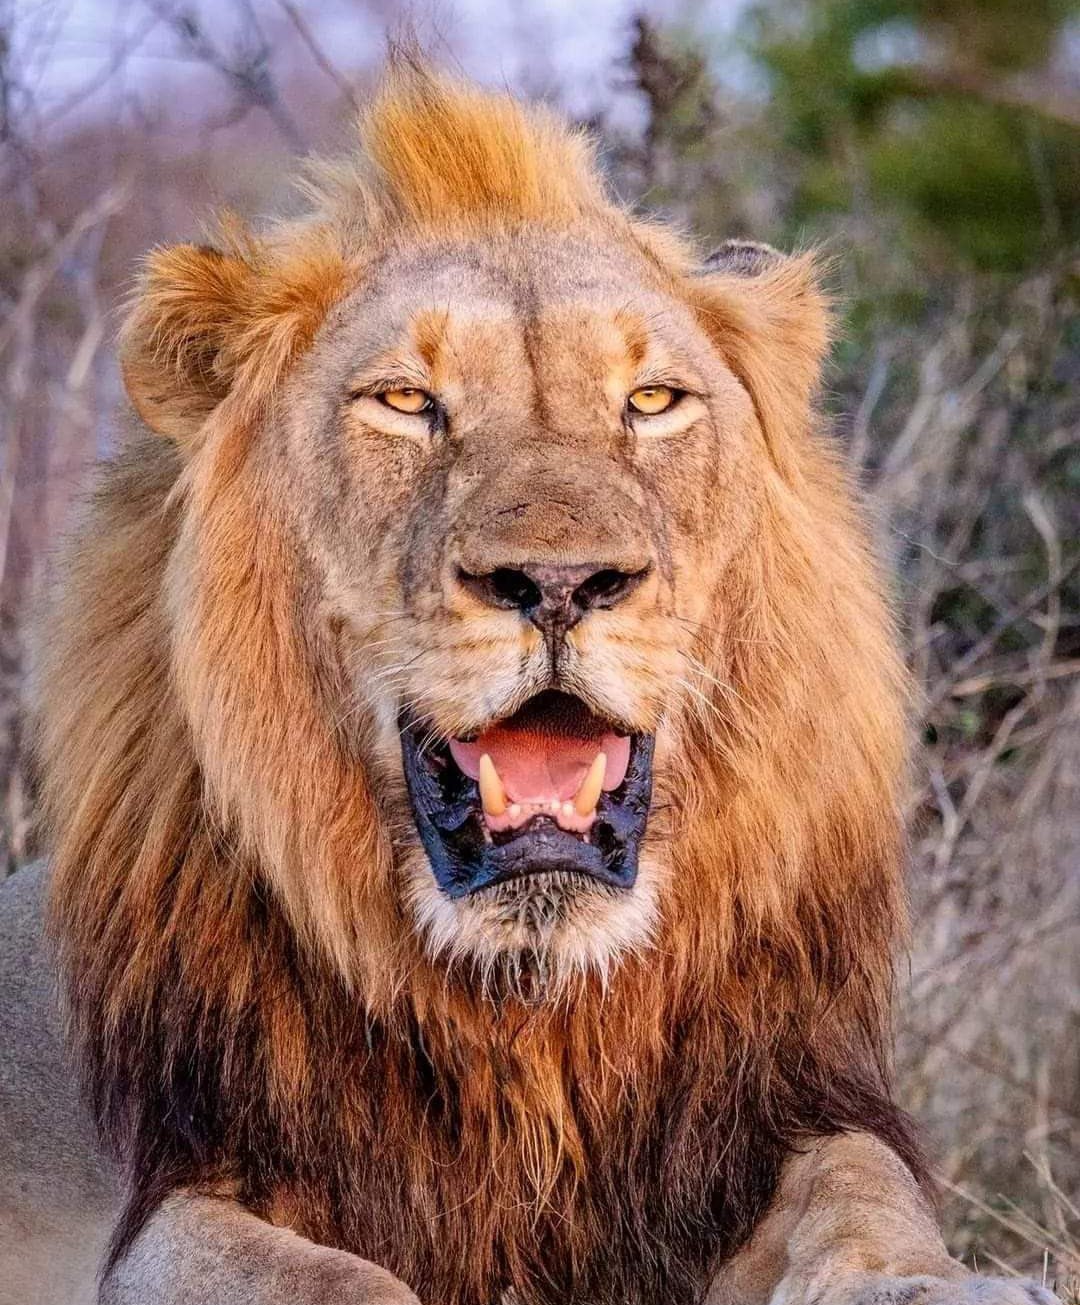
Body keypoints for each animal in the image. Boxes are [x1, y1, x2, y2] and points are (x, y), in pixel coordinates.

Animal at [0, 62, 1059, 1305]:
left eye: (651, 401)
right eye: (406, 402)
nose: (558, 582)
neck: (532, 1009)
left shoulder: (768, 1114)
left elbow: (862, 1191)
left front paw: (930, 1283)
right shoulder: (178, 1192)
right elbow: (339, 1280)